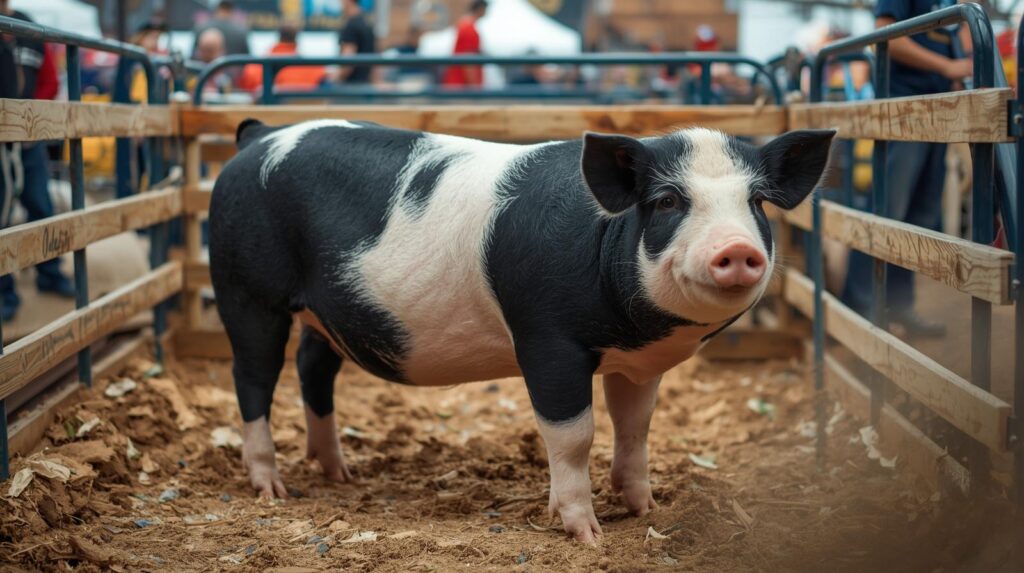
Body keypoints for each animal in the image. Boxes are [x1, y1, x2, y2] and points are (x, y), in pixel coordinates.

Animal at [209, 119, 834, 542]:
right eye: (666, 201)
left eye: (756, 201)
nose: (737, 249)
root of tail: (256, 139)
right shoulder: (546, 340)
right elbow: (574, 434)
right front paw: (585, 534)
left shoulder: (635, 362)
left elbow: (635, 427)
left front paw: (646, 509)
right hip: (246, 291)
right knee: (252, 378)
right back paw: (272, 489)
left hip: (324, 314)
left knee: (314, 368)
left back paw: (339, 474)